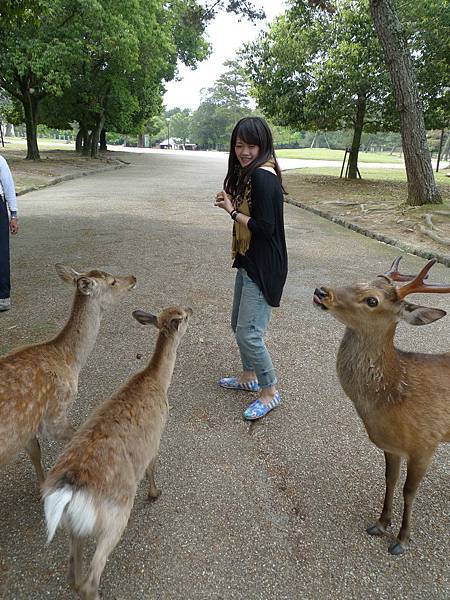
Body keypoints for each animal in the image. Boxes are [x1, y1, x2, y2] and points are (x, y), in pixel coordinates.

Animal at [0, 264, 137, 486]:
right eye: (112, 281)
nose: (133, 277)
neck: (70, 362)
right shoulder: (55, 412)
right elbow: (74, 437)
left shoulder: (27, 424)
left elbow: (35, 451)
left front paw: (41, 485)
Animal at [44, 308, 193, 596]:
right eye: (182, 316)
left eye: (176, 310)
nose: (192, 310)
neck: (159, 382)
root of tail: (69, 489)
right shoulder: (155, 437)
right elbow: (153, 466)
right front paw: (155, 494)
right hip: (116, 515)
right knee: (92, 576)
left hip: (74, 526)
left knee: (73, 573)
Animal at [312, 255, 450, 556]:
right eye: (357, 281)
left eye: (372, 300)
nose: (321, 291)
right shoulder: (391, 446)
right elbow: (390, 479)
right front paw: (380, 523)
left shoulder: (426, 442)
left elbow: (409, 490)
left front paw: (402, 539)